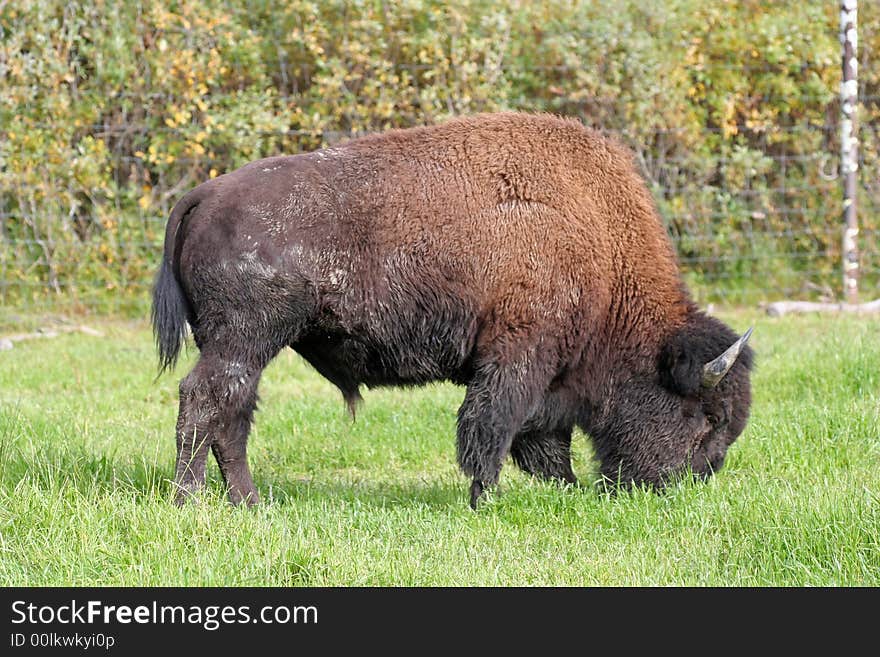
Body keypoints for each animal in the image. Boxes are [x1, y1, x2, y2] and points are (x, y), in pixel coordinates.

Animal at [151, 111, 748, 508]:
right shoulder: (517, 357)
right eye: (708, 416)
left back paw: (247, 503)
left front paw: (563, 489)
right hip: (244, 340)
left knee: (233, 414)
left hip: (241, 347)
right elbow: (493, 427)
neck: (596, 238)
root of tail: (202, 195)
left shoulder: (545, 374)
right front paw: (486, 499)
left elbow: (539, 439)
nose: (690, 483)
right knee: (206, 402)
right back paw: (192, 501)